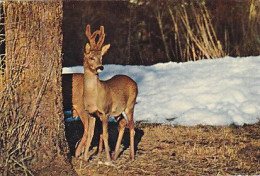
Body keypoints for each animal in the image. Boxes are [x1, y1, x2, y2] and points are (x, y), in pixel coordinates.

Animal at [72, 24, 138, 164]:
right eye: (91, 57)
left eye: (101, 57)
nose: (100, 67)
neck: (94, 97)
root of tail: (134, 82)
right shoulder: (91, 113)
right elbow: (90, 134)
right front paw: (85, 158)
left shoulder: (105, 112)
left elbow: (105, 134)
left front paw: (107, 159)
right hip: (118, 111)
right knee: (123, 123)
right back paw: (115, 155)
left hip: (130, 105)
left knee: (132, 126)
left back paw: (131, 156)